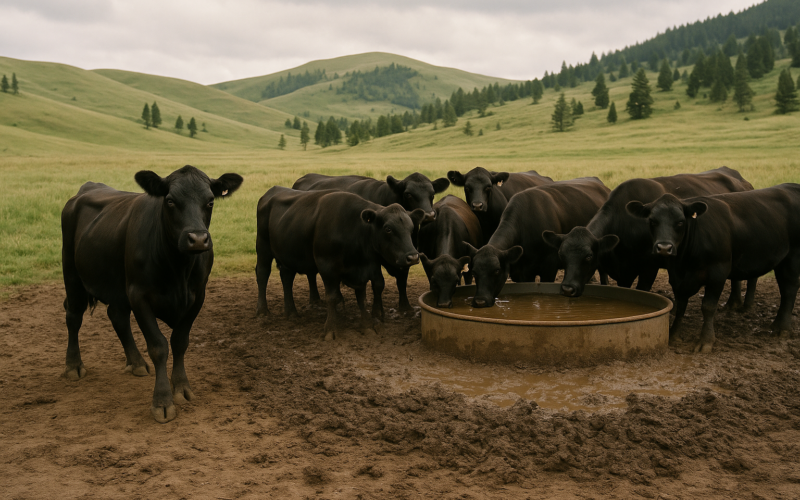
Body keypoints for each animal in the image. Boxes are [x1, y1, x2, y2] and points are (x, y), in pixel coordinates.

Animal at [61, 165, 243, 423]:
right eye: (170, 200)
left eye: (210, 201)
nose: (197, 239)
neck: (178, 268)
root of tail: (88, 187)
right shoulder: (139, 296)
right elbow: (158, 346)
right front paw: (163, 401)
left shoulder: (197, 297)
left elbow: (180, 342)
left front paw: (182, 388)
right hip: (72, 272)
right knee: (74, 316)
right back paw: (73, 365)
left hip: (117, 286)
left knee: (117, 316)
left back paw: (136, 362)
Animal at [255, 187, 424, 339]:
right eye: (388, 229)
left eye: (411, 228)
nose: (413, 257)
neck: (354, 229)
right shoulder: (327, 267)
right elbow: (332, 297)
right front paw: (331, 329)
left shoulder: (364, 268)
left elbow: (363, 296)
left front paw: (367, 325)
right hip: (263, 248)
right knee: (262, 273)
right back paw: (263, 311)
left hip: (287, 256)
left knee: (287, 278)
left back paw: (291, 312)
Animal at [292, 172, 449, 312]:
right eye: (408, 194)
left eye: (432, 194)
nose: (429, 215)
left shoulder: (407, 251)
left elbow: (402, 279)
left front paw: (406, 307)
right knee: (311, 273)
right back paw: (315, 300)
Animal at [626, 184, 800, 353]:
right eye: (652, 221)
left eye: (681, 222)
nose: (664, 248)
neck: (685, 262)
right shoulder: (676, 277)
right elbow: (680, 305)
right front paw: (674, 334)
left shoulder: (718, 273)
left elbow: (708, 307)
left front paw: (706, 341)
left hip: (792, 257)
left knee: (789, 289)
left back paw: (783, 328)